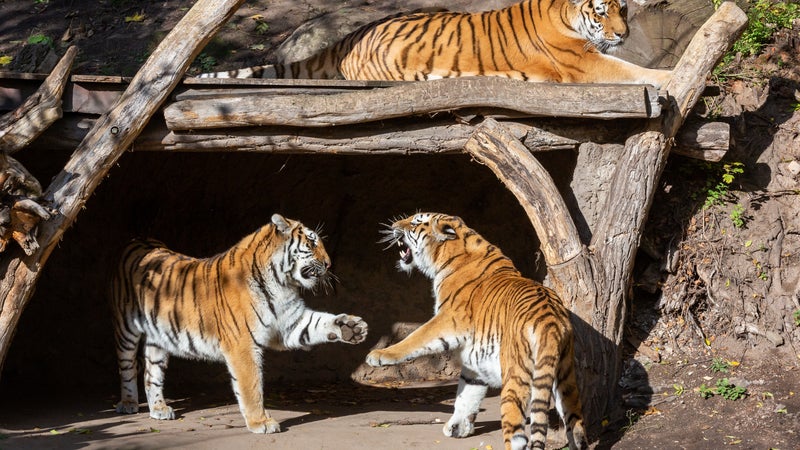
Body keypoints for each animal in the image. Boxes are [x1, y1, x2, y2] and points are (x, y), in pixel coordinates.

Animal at [111, 213, 368, 434]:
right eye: (312, 242)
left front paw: (352, 328)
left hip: (159, 339)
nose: (329, 264)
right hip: (126, 330)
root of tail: (140, 238)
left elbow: (319, 322)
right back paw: (128, 403)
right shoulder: (242, 344)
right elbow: (251, 385)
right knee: (127, 367)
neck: (282, 283)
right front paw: (260, 422)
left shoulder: (291, 322)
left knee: (151, 374)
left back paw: (159, 409)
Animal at [367, 212, 587, 450]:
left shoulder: (448, 319)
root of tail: (551, 321)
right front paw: (457, 427)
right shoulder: (475, 360)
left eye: (416, 222)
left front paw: (378, 355)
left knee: (517, 434)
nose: (393, 225)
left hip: (516, 378)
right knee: (577, 424)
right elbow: (467, 394)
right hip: (565, 376)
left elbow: (416, 337)